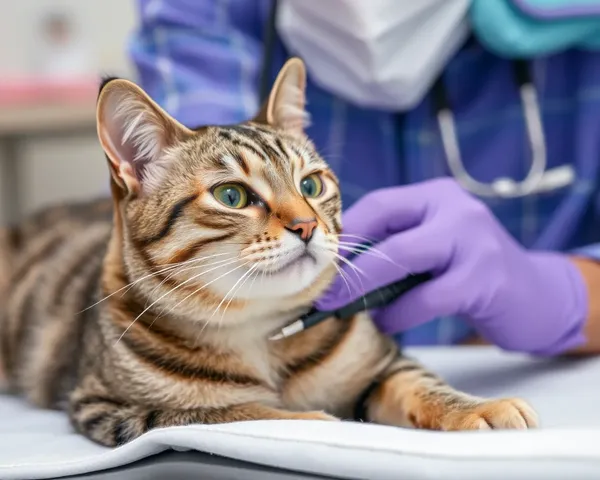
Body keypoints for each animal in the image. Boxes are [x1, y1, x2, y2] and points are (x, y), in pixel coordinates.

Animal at [0, 58, 536, 448]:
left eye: (311, 185)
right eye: (232, 196)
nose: (306, 225)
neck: (259, 328)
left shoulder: (382, 365)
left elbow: (420, 382)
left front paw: (478, 407)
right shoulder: (115, 408)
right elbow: (239, 412)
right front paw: (321, 420)